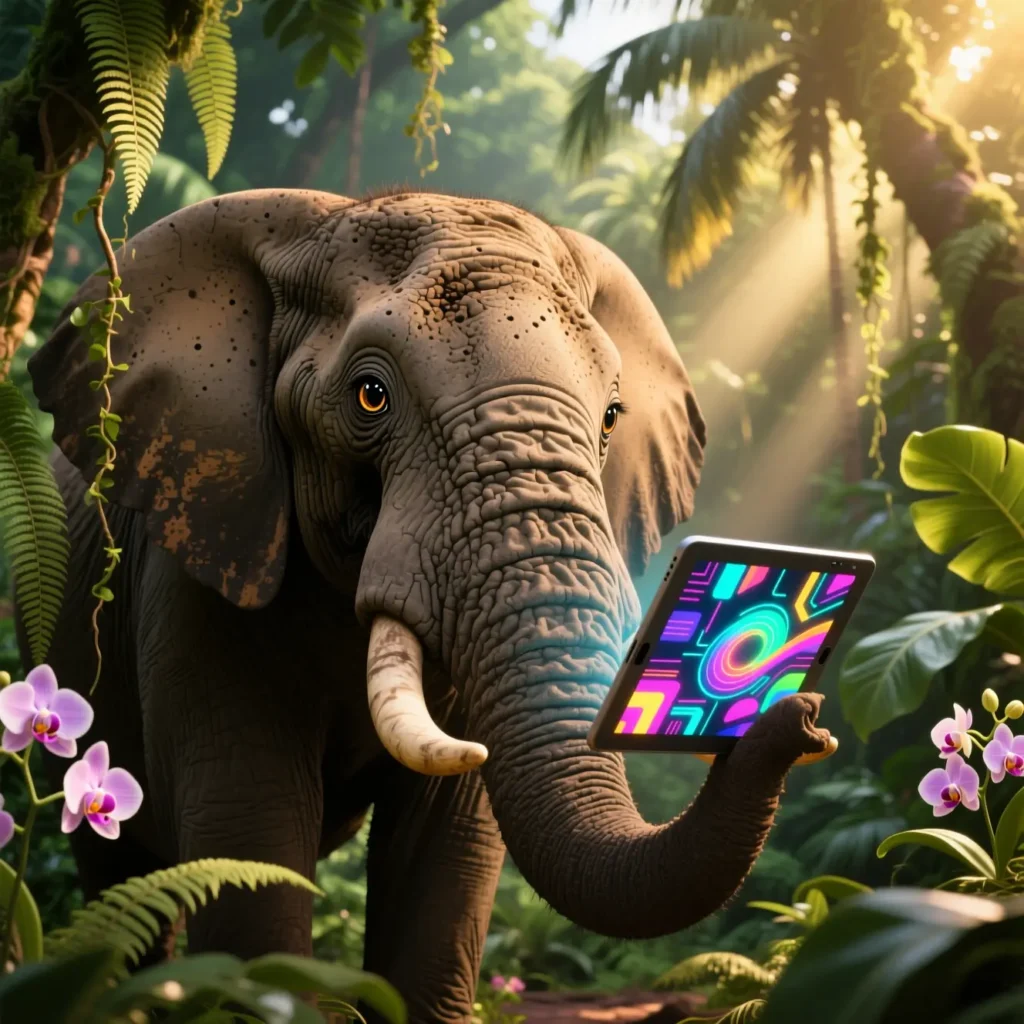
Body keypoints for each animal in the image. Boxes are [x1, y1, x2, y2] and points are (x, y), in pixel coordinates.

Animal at [17, 187, 831, 1022]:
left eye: (611, 418)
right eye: (369, 395)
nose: (797, 717)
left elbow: (447, 852)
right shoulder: (202, 555)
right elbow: (248, 833)